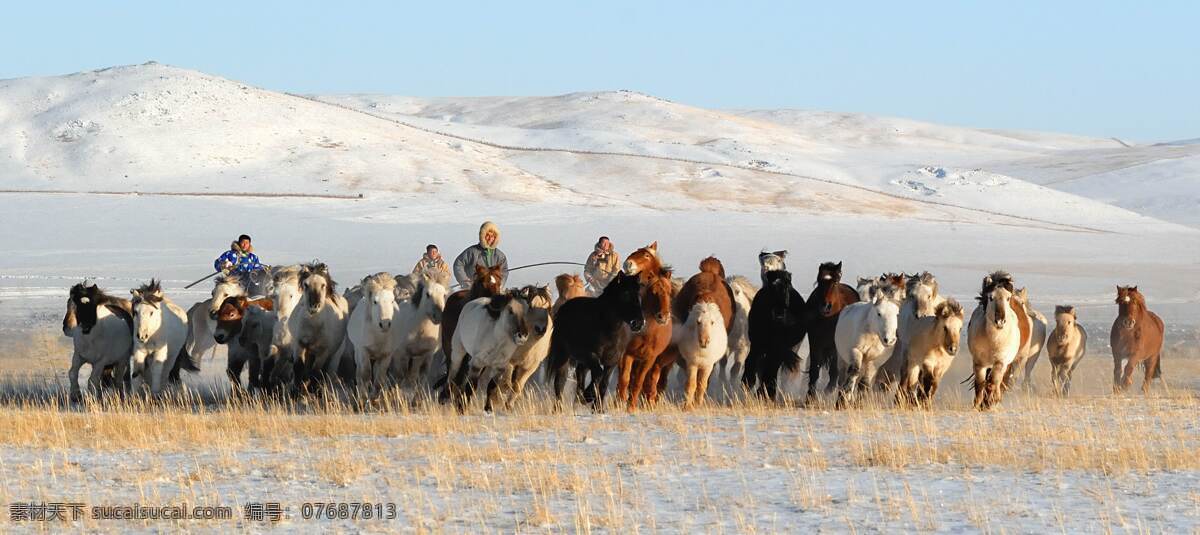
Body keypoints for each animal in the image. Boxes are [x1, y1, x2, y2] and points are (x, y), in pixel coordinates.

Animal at [549, 269, 648, 412]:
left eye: (639, 295)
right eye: (625, 294)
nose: (639, 323)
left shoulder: (611, 361)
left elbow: (604, 383)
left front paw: (597, 408)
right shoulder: (590, 355)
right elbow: (598, 374)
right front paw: (588, 397)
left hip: (581, 361)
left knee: (580, 373)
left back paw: (578, 399)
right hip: (564, 355)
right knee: (560, 381)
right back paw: (559, 408)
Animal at [614, 242, 672, 410]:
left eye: (669, 291)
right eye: (653, 292)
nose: (663, 316)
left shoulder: (649, 359)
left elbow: (639, 382)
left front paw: (632, 407)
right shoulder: (627, 354)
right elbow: (625, 380)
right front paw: (620, 403)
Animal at [739, 269, 806, 398]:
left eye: (787, 284)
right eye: (771, 284)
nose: (779, 313)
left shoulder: (779, 348)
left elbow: (770, 368)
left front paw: (765, 393)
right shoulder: (757, 342)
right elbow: (751, 362)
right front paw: (747, 385)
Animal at [806, 261, 864, 403]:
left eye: (835, 281)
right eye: (819, 280)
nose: (825, 306)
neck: (828, 318)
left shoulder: (835, 346)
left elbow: (834, 370)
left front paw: (829, 391)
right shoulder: (814, 342)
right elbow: (814, 370)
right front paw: (809, 397)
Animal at [964, 271, 1022, 410]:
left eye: (1008, 298)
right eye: (991, 297)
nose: (1000, 320)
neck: (993, 341)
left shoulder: (1000, 362)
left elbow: (992, 383)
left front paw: (990, 403)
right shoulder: (979, 363)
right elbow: (980, 384)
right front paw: (977, 405)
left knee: (997, 382)